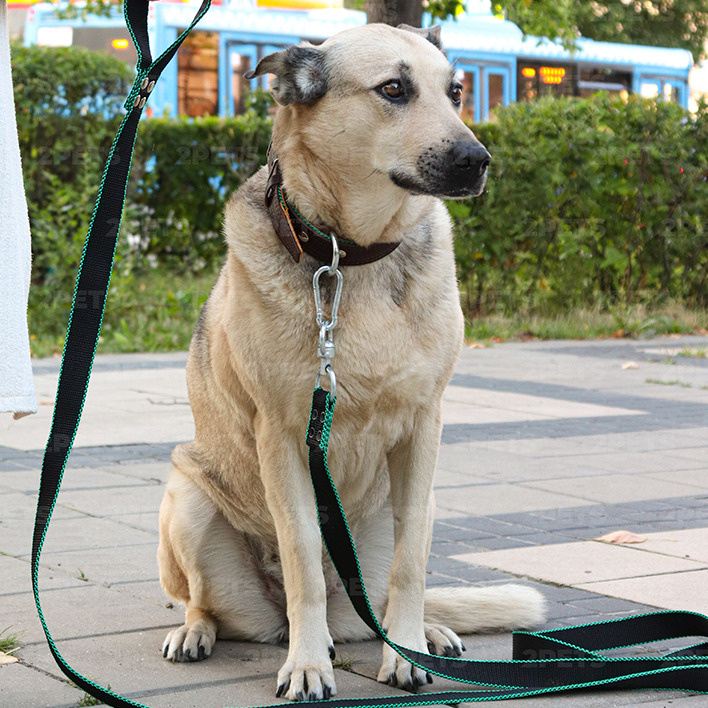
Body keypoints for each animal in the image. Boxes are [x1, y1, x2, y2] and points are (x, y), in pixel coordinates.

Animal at [160, 23, 544, 704]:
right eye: (392, 89)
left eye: (456, 91)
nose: (477, 160)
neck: (350, 256)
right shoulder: (283, 438)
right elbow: (304, 561)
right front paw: (309, 664)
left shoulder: (423, 429)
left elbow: (411, 564)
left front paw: (409, 651)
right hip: (187, 500)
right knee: (206, 602)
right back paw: (199, 632)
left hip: (404, 510)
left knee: (385, 595)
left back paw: (425, 631)